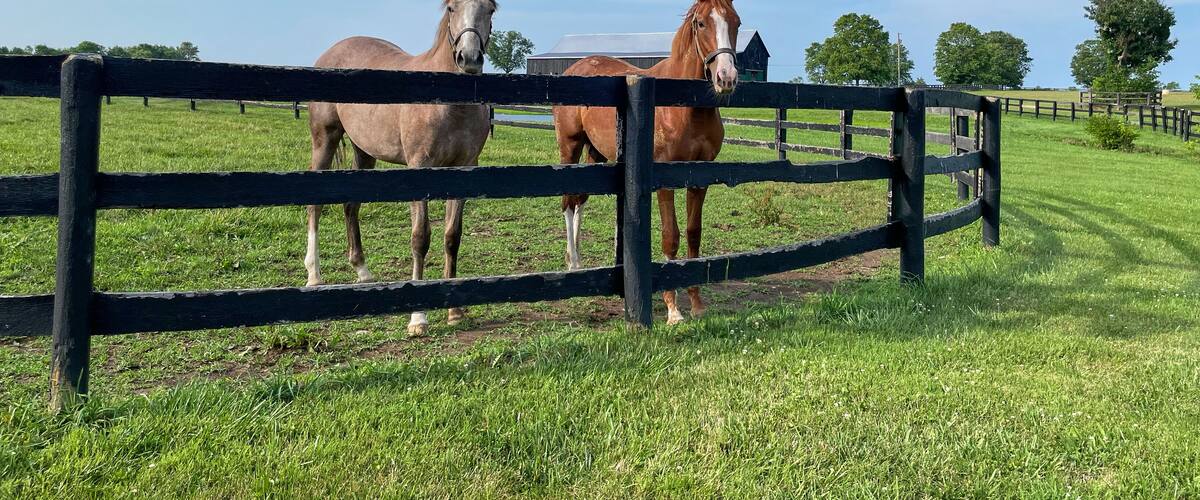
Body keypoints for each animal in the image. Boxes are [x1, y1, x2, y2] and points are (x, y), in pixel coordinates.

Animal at [305, 0, 496, 336]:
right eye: (451, 8)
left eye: (491, 9)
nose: (469, 58)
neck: (449, 106)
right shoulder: (419, 167)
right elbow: (420, 238)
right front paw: (418, 318)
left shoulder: (464, 169)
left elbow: (452, 236)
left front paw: (455, 311)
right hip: (325, 140)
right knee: (315, 205)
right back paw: (314, 275)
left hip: (364, 152)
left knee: (351, 206)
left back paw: (363, 271)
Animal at [553, 0, 741, 325]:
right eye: (701, 23)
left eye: (736, 22)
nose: (726, 77)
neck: (683, 106)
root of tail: (575, 69)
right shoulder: (664, 178)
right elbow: (670, 237)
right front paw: (673, 310)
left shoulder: (700, 178)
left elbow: (693, 235)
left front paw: (697, 304)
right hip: (570, 147)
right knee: (567, 202)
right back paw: (573, 263)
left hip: (595, 152)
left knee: (579, 200)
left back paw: (579, 261)